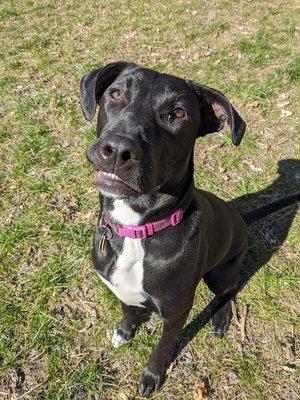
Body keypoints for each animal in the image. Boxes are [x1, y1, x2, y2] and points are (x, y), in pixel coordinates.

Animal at [79, 62, 300, 396]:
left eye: (178, 113)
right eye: (115, 94)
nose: (117, 150)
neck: (139, 230)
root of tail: (240, 218)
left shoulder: (176, 313)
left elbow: (161, 348)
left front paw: (151, 376)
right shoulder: (120, 287)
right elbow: (128, 310)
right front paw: (125, 332)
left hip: (220, 272)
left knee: (229, 289)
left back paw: (220, 318)